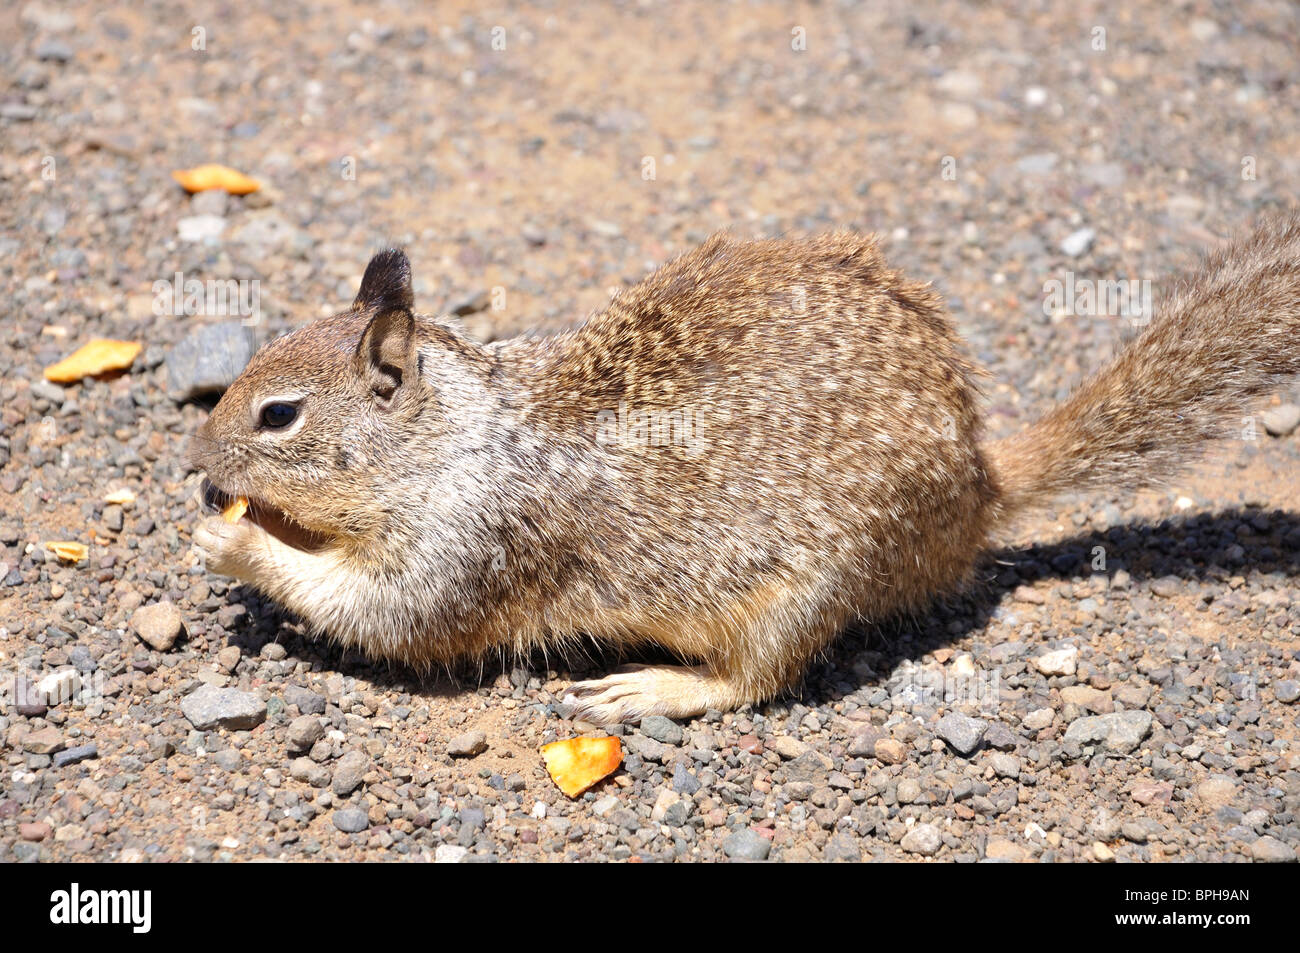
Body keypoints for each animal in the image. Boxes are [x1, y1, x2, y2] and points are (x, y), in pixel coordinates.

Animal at [191, 214, 1300, 724]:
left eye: (279, 414)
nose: (198, 463)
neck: (449, 434)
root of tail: (980, 481)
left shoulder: (468, 547)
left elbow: (387, 617)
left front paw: (236, 538)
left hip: (809, 591)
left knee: (755, 682)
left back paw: (653, 688)